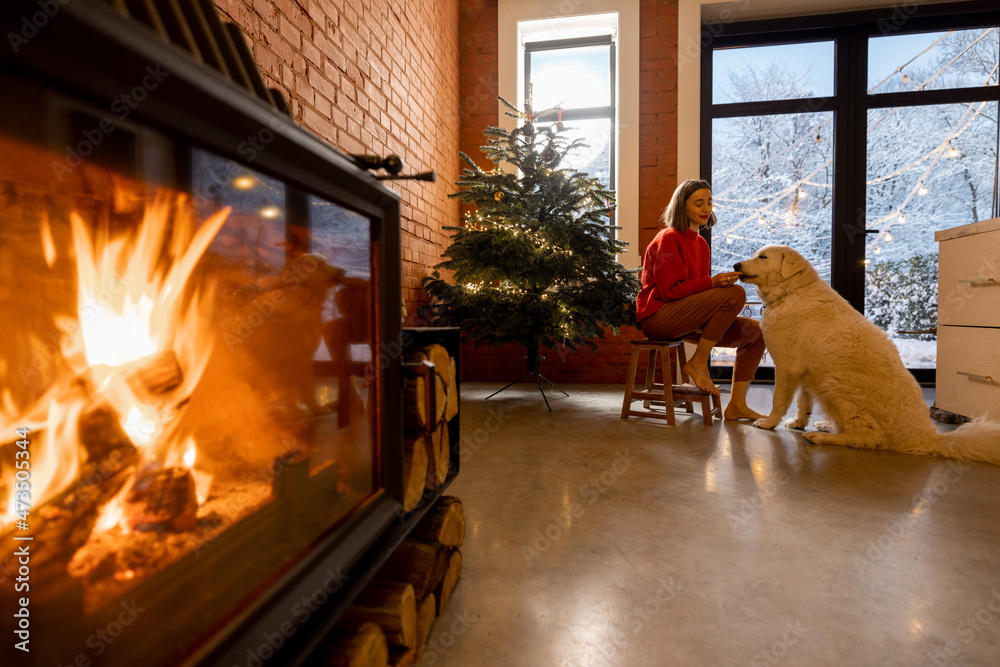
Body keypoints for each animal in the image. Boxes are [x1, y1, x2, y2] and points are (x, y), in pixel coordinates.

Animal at [736, 245, 1000, 464]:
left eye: (762, 257)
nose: (736, 266)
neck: (792, 292)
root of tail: (927, 437)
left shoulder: (787, 366)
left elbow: (779, 401)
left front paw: (768, 423)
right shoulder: (804, 371)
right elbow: (803, 402)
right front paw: (798, 423)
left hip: (836, 384)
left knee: (866, 438)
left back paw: (824, 437)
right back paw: (826, 426)